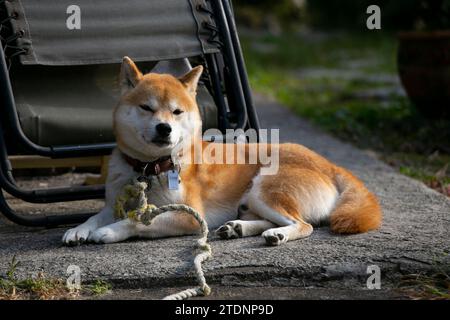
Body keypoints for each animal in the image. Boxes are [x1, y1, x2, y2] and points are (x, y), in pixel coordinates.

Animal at [61, 57, 382, 246]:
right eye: (146, 107)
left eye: (176, 112)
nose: (164, 128)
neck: (148, 168)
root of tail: (329, 164)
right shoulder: (114, 203)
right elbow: (97, 215)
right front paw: (80, 229)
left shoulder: (188, 216)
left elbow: (137, 219)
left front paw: (108, 232)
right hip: (254, 199)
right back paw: (238, 228)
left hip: (265, 188)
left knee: (303, 225)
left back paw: (276, 234)